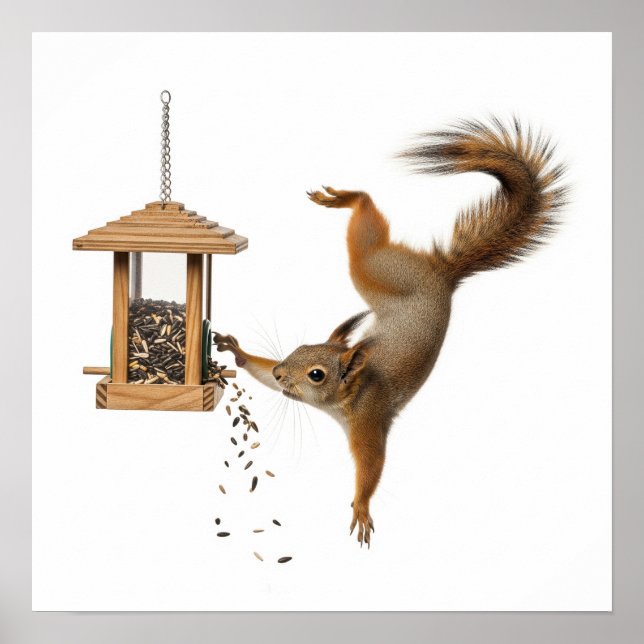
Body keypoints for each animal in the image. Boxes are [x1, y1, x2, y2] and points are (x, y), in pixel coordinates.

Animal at [215, 118, 567, 547]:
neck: (348, 395)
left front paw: (362, 508)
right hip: (379, 274)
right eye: (299, 347)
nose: (283, 373)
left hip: (379, 271)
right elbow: (260, 373)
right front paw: (238, 351)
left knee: (366, 235)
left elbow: (372, 467)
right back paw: (343, 199)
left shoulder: (371, 420)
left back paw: (347, 198)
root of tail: (442, 275)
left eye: (317, 374)